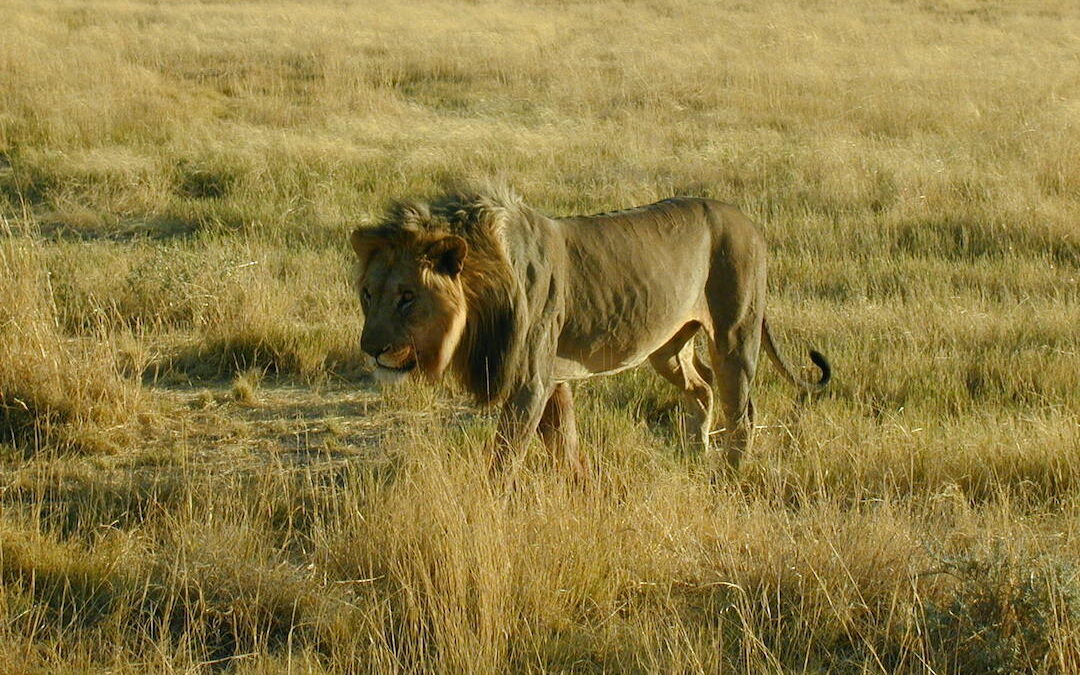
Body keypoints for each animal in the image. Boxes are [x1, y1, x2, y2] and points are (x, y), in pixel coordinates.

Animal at [349, 184, 829, 479]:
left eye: (407, 296)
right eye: (369, 294)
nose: (371, 350)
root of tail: (748, 220)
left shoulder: (531, 380)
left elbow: (506, 458)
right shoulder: (553, 377)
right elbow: (564, 443)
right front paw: (579, 484)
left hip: (734, 333)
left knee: (741, 410)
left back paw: (730, 474)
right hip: (667, 348)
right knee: (701, 388)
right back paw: (696, 454)